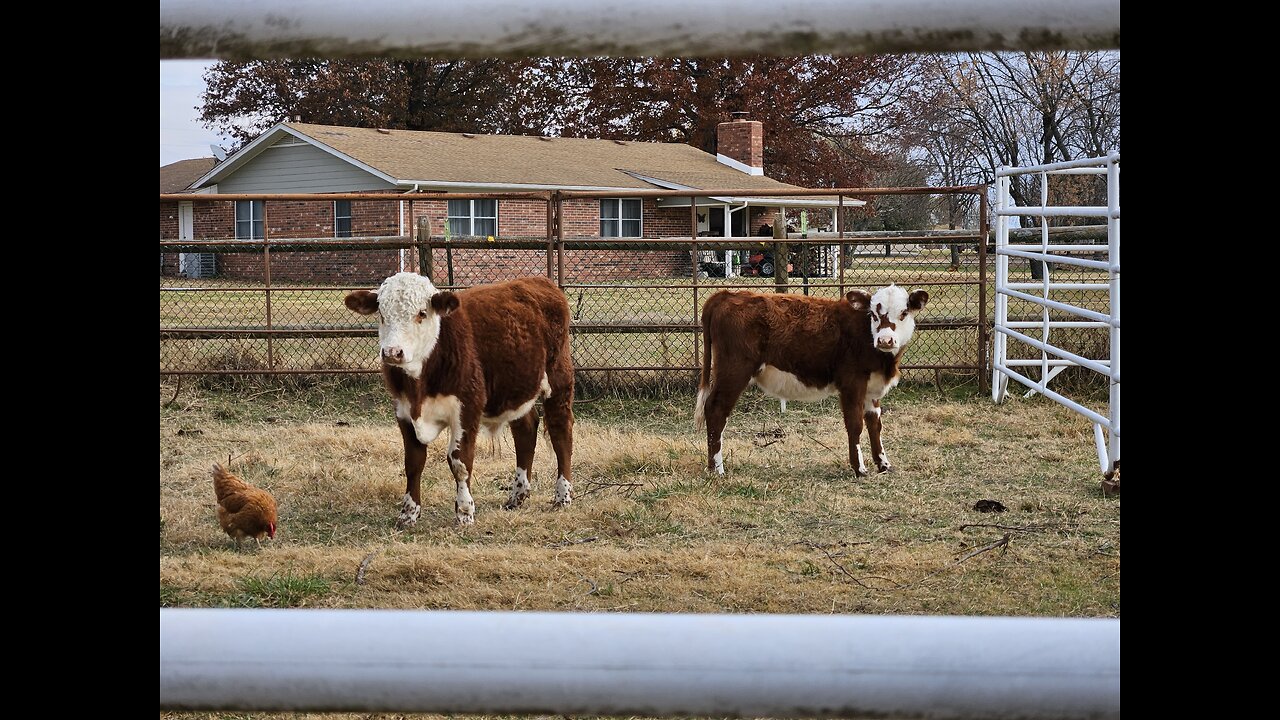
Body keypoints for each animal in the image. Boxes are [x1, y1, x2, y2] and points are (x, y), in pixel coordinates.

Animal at [345, 271, 576, 525]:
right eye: (382, 314)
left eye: (422, 313)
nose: (392, 352)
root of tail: (541, 282)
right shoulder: (403, 411)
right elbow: (413, 462)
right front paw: (408, 513)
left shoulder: (467, 408)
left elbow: (460, 462)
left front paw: (465, 512)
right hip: (516, 386)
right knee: (525, 429)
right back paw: (517, 496)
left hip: (559, 378)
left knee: (560, 431)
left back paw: (562, 496)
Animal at [696, 281, 926, 476]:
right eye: (874, 314)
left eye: (904, 313)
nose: (885, 340)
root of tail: (728, 295)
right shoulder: (852, 384)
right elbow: (855, 424)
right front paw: (859, 468)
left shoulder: (871, 387)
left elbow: (874, 424)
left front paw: (883, 464)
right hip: (733, 371)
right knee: (716, 409)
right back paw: (717, 469)